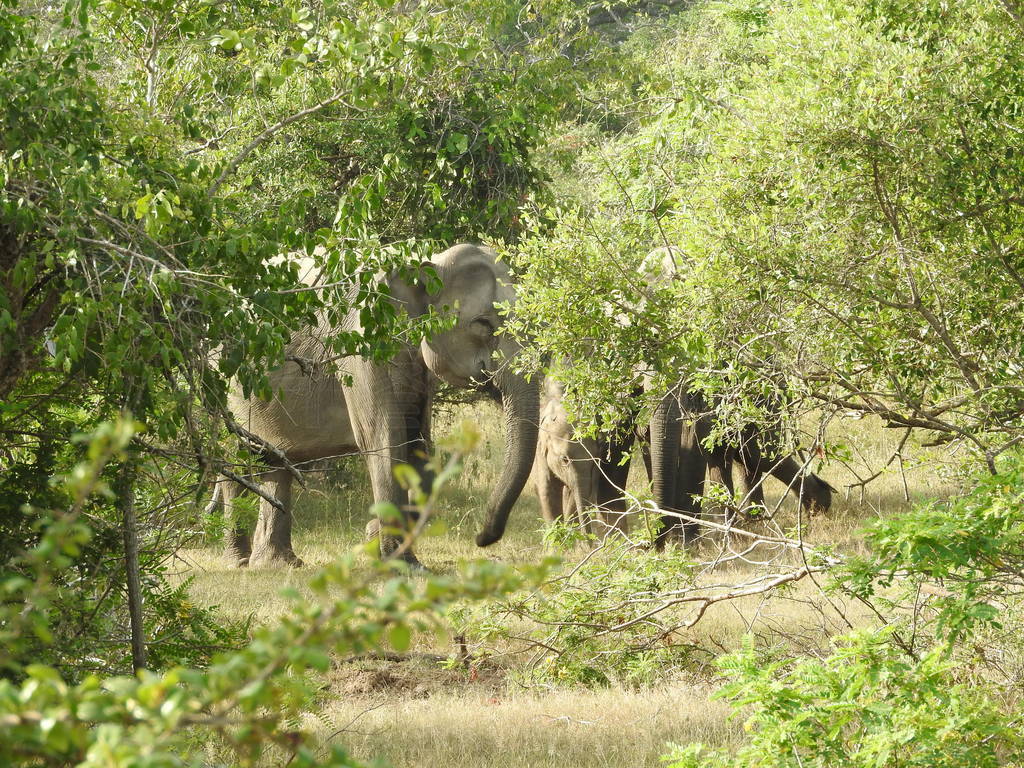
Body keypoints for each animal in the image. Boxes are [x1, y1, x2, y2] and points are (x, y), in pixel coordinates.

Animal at [222, 243, 544, 569]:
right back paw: (240, 561)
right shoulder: (363, 342)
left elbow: (419, 443)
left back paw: (278, 564)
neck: (423, 264)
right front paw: (402, 564)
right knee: (233, 458)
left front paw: (378, 542)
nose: (481, 539)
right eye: (483, 324)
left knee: (276, 462)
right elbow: (382, 438)